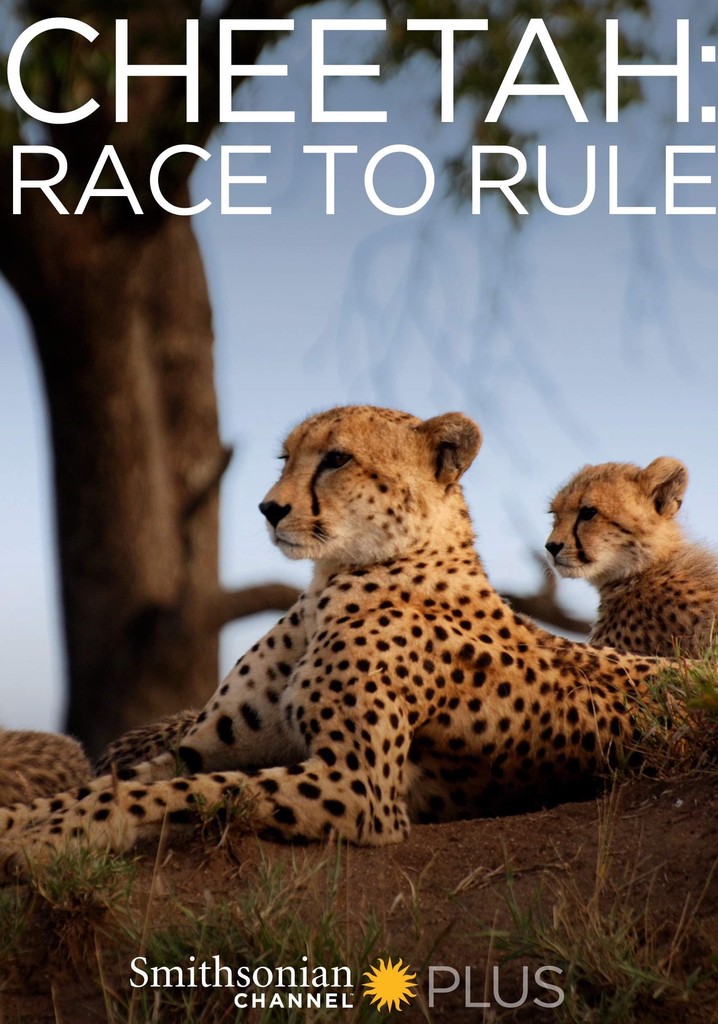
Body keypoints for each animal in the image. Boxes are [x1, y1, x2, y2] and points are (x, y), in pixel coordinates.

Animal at [0, 405, 666, 867]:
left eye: (336, 459)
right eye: (284, 459)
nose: (268, 509)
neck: (334, 578)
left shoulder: (358, 786)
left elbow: (180, 792)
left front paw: (56, 836)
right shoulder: (202, 748)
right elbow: (110, 783)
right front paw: (25, 821)